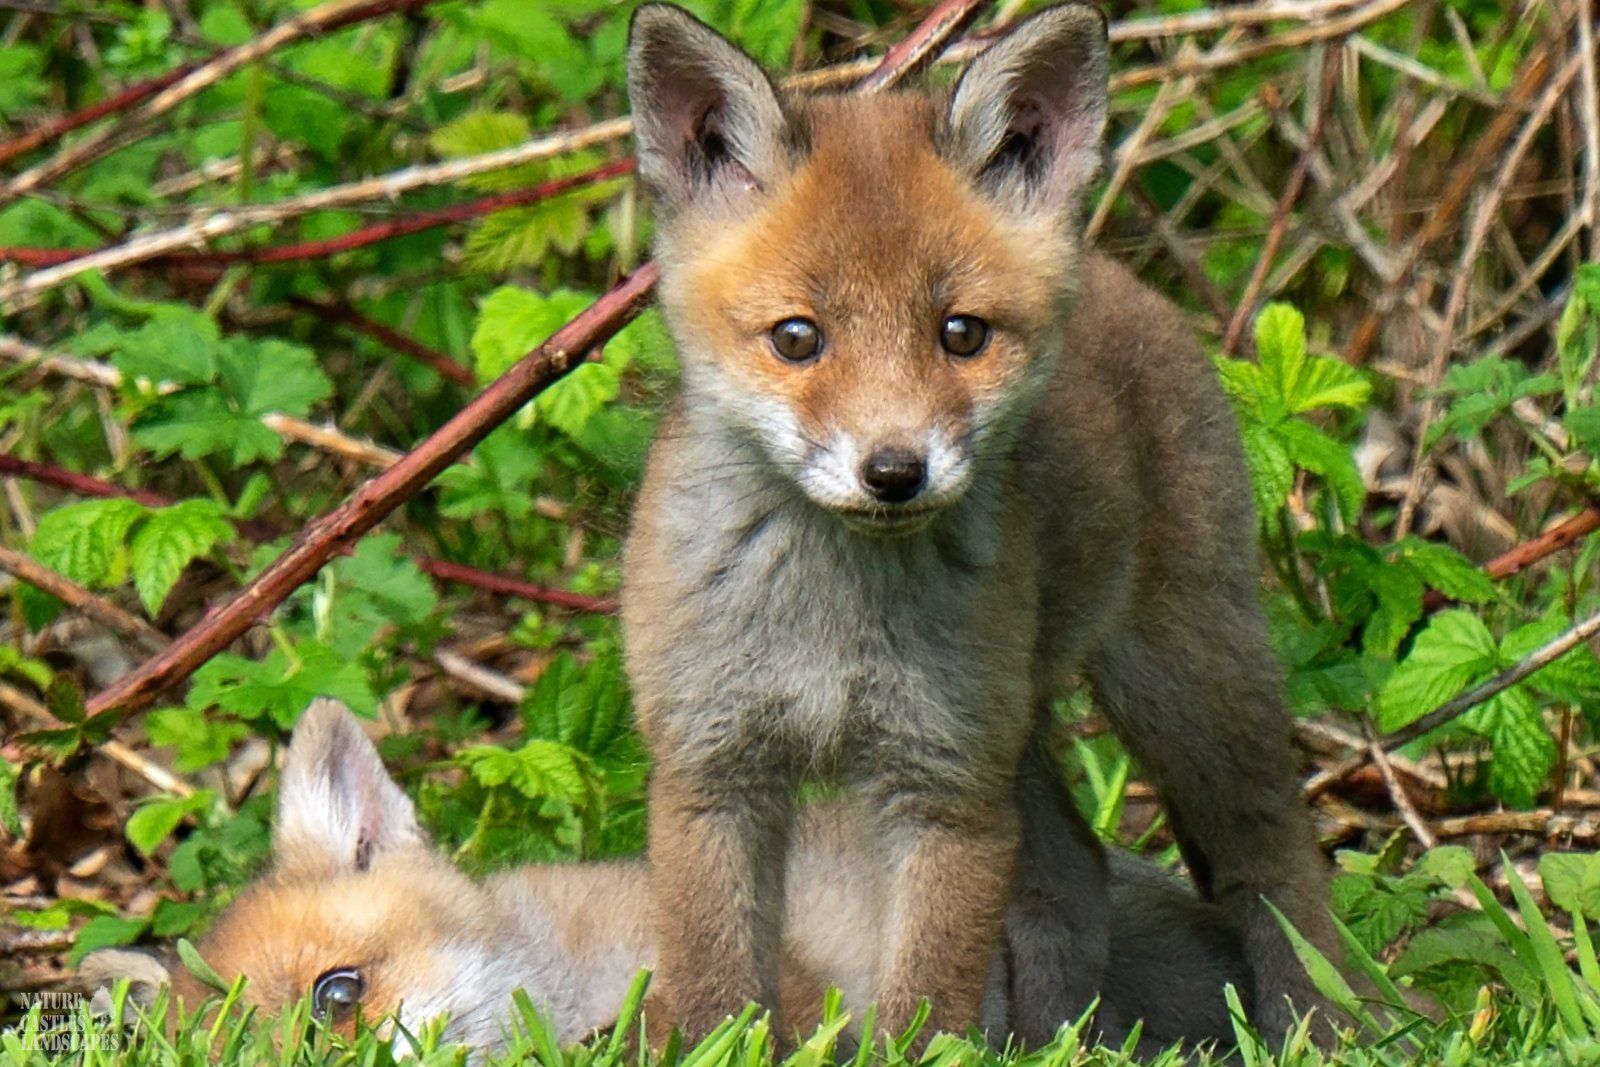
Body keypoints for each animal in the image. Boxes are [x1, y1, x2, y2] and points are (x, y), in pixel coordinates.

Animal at [620, 0, 1335, 1047]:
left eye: (961, 334)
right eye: (798, 338)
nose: (893, 472)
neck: (829, 622)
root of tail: (1127, 277)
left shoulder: (945, 789)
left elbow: (923, 1007)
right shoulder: (712, 767)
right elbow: (716, 993)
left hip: (1181, 685)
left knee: (1277, 860)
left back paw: (1331, 1022)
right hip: (1021, 727)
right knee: (1075, 872)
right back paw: (1055, 1039)